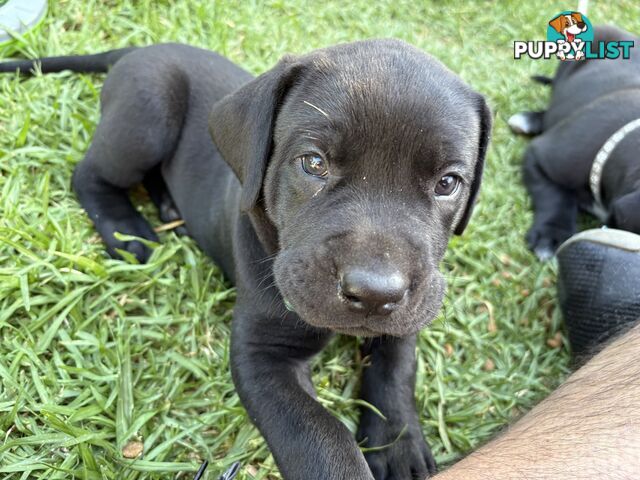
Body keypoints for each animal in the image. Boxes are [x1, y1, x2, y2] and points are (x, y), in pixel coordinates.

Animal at [0, 42, 490, 480]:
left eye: (448, 183)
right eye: (313, 163)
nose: (373, 292)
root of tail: (138, 49)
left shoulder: (414, 305)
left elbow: (397, 366)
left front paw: (398, 443)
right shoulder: (260, 356)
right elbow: (318, 434)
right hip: (147, 112)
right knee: (89, 174)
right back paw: (128, 233)